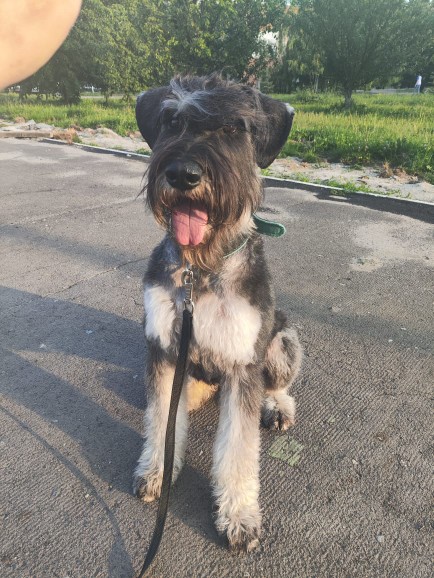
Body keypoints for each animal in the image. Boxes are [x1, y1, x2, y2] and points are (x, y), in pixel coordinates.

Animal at [133, 74, 302, 552]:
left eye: (233, 129)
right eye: (172, 121)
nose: (183, 174)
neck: (202, 271)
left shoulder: (245, 364)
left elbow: (239, 448)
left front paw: (239, 515)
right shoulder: (163, 348)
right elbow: (161, 419)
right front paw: (156, 472)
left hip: (283, 343)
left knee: (279, 386)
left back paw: (278, 406)